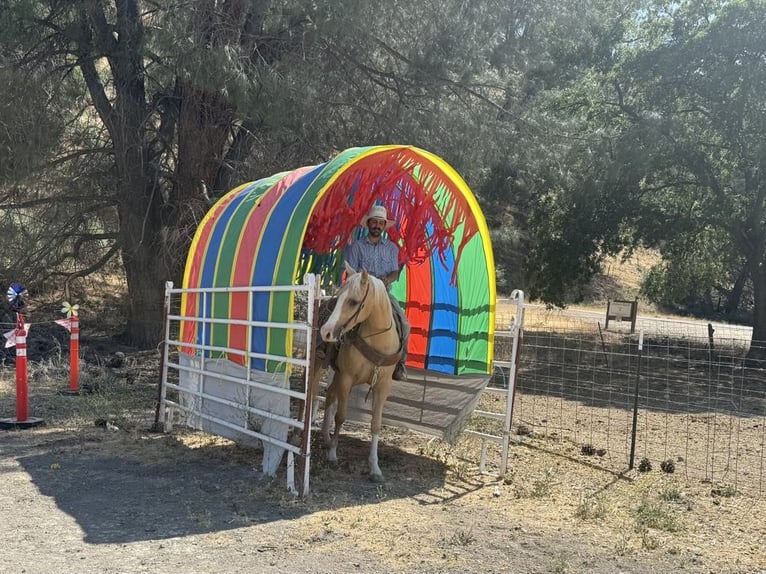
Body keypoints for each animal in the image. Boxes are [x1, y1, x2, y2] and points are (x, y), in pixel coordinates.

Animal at [313, 262, 402, 482]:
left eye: (353, 302)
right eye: (339, 297)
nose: (327, 332)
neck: (377, 341)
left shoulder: (382, 386)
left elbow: (376, 424)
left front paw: (375, 468)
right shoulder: (346, 378)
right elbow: (341, 416)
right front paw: (333, 455)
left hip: (336, 373)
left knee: (329, 396)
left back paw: (326, 437)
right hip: (320, 367)